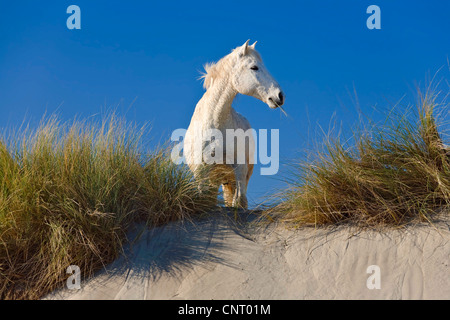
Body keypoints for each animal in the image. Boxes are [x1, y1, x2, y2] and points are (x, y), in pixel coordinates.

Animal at [184, 40, 284, 209]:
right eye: (254, 67)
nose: (280, 96)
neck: (214, 123)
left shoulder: (240, 169)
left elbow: (239, 202)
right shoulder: (201, 172)